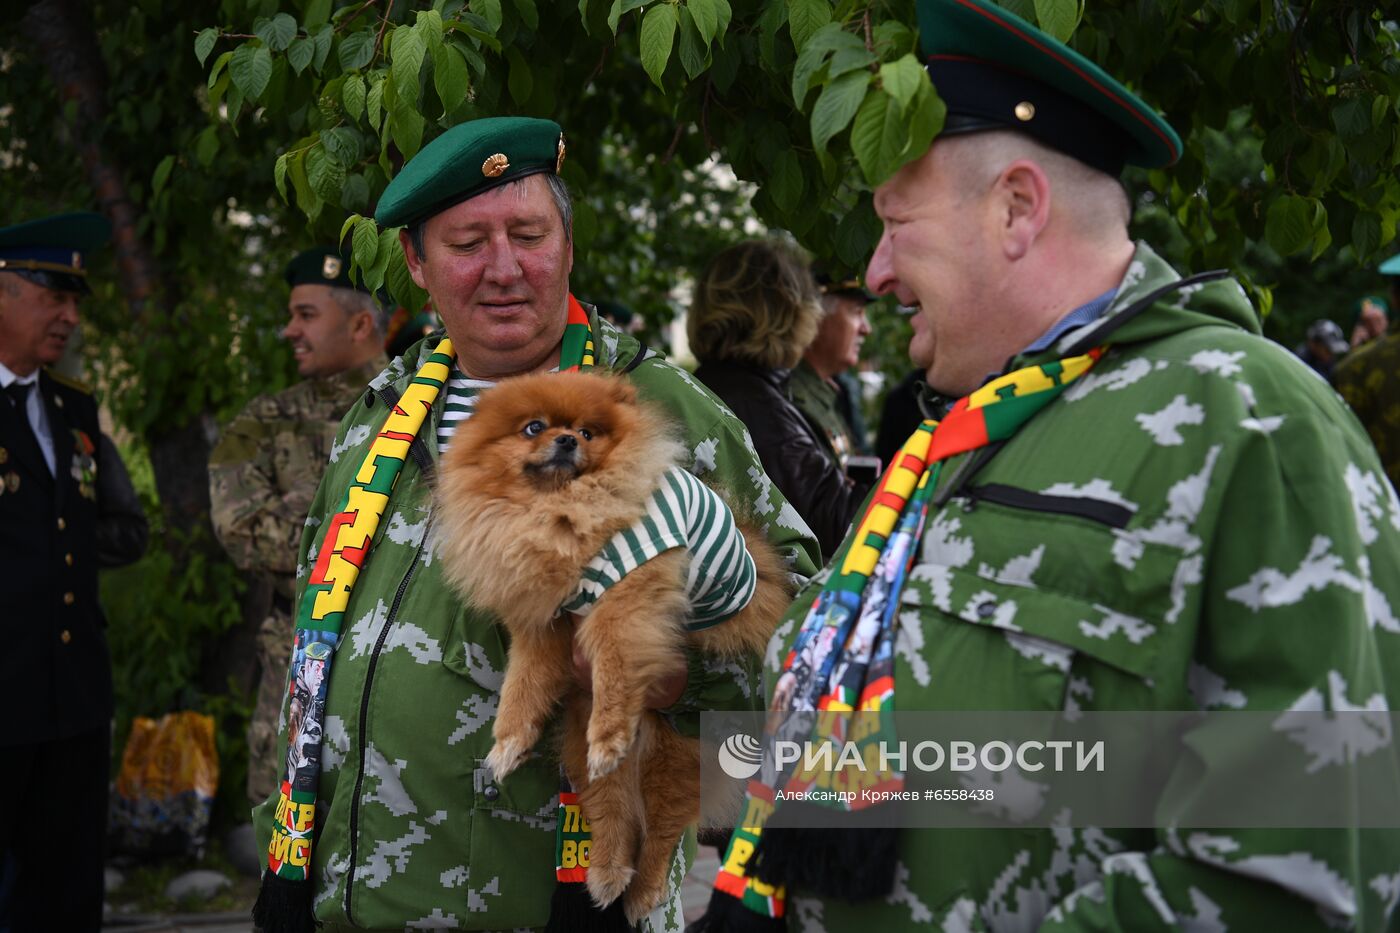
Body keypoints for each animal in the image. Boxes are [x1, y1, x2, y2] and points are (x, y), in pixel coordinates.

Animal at [431, 369, 795, 913]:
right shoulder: (547, 625)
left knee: (662, 830)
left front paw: (608, 732)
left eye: (587, 432)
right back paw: (605, 872)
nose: (565, 440)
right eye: (533, 427)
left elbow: (613, 665)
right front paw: (509, 742)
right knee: (612, 812)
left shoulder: (626, 598)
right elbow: (523, 684)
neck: (555, 509)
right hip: (586, 757)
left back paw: (642, 891)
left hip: (677, 754)